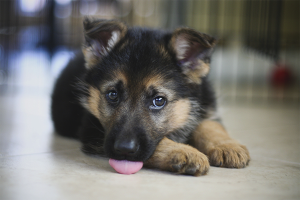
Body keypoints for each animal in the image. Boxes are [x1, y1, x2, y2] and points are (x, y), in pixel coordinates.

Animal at [51, 18, 248, 176]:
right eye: (112, 94)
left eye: (159, 101)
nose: (123, 149)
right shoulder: (92, 130)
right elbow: (160, 142)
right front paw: (184, 152)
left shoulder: (207, 105)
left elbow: (210, 125)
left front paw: (227, 146)